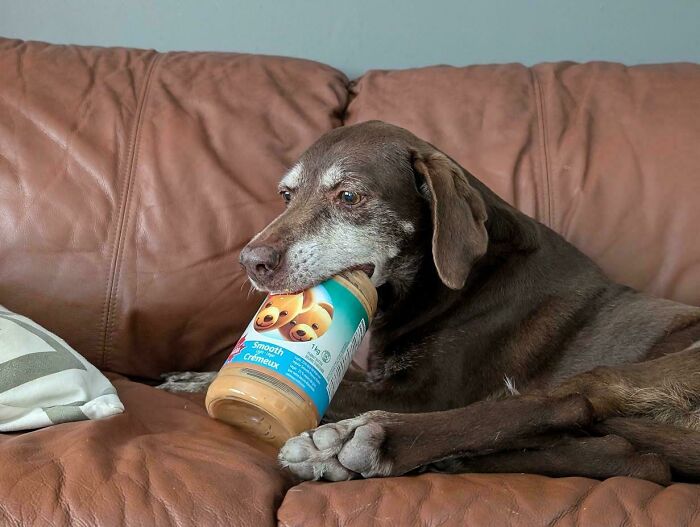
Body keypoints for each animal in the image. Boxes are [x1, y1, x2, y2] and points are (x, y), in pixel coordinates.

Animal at [160, 121, 700, 484]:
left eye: (349, 196)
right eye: (286, 195)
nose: (251, 262)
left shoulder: (423, 395)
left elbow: (339, 394)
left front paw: (200, 383)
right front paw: (195, 376)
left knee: (579, 407)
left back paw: (362, 444)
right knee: (631, 456)